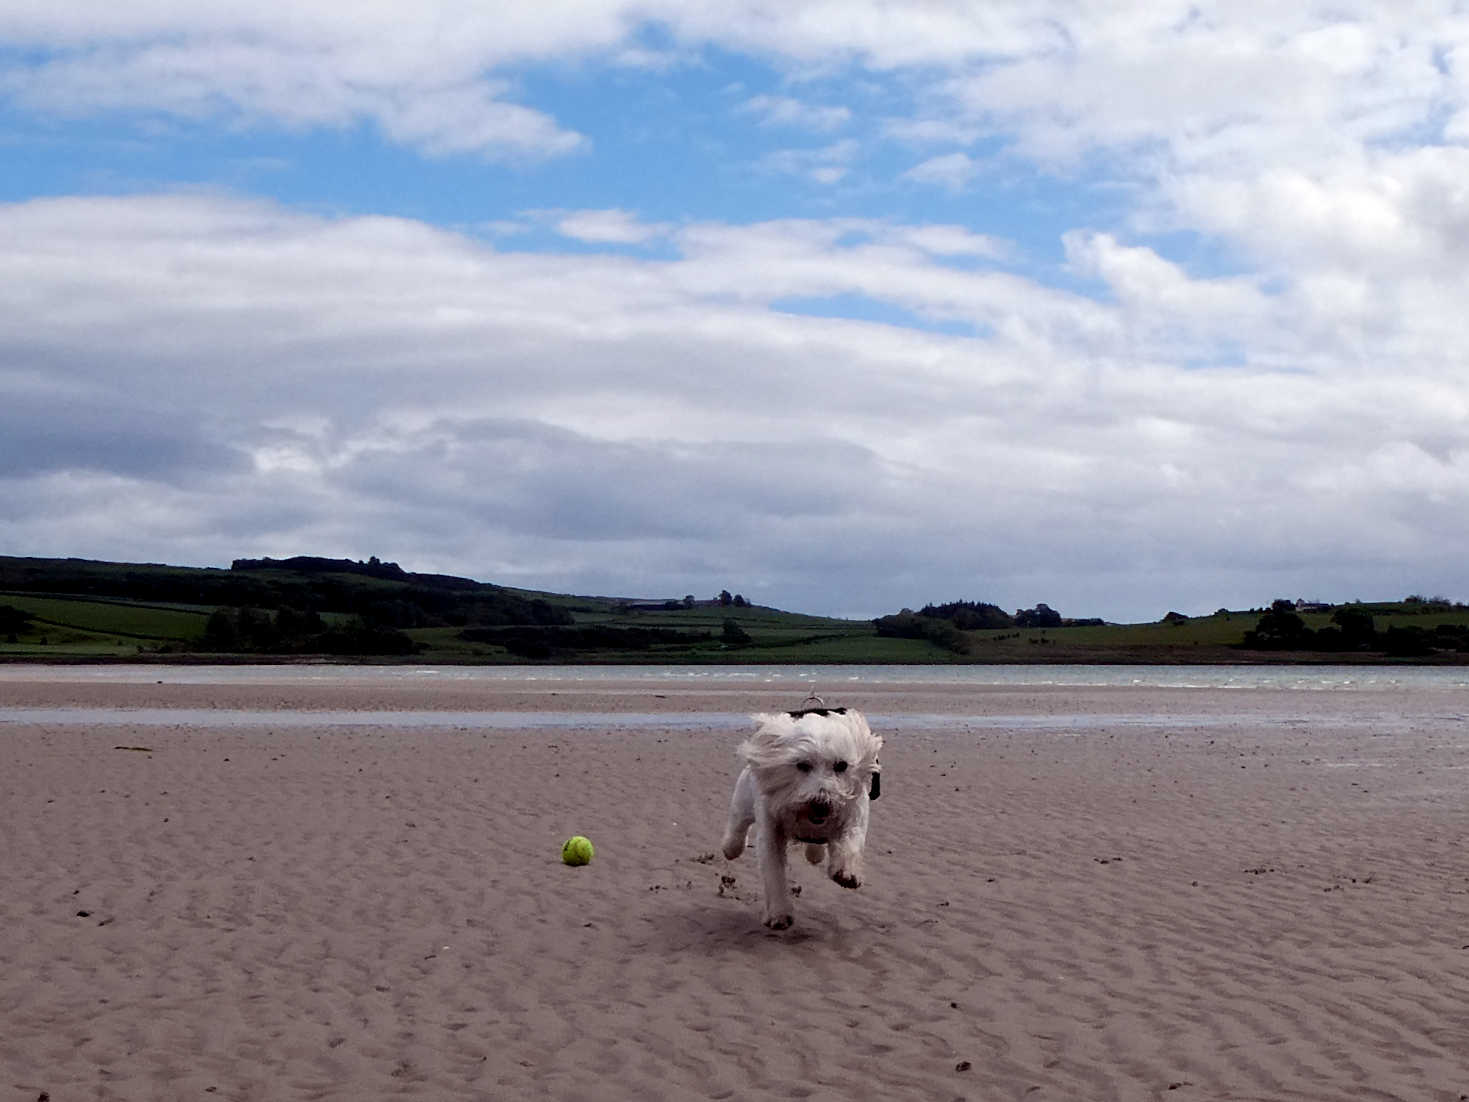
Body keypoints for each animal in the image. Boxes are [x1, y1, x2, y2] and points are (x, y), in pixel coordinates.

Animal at [716, 708, 875, 934]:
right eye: (802, 765)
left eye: (841, 765)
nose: (821, 803)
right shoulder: (770, 832)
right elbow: (774, 873)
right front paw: (779, 914)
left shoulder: (854, 813)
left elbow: (850, 840)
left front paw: (847, 873)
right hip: (743, 799)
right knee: (737, 826)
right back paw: (731, 848)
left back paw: (815, 854)